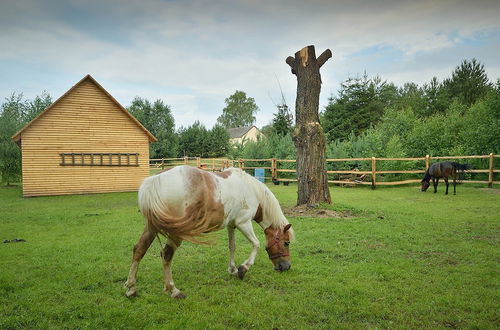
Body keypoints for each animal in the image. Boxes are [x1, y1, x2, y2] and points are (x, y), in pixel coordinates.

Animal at [124, 166, 292, 298]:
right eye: (286, 243)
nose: (286, 267)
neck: (250, 190)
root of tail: (155, 180)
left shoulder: (232, 225)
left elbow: (232, 246)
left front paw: (232, 269)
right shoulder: (243, 223)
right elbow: (256, 244)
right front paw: (243, 269)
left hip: (152, 227)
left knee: (139, 249)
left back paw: (131, 288)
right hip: (175, 232)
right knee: (166, 255)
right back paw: (174, 290)